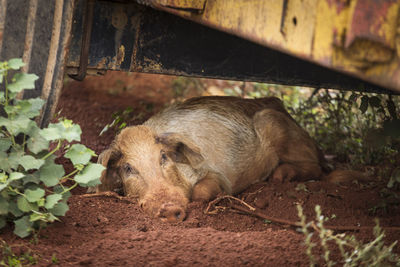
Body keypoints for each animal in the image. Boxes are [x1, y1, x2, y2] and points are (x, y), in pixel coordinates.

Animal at [93, 97, 328, 223]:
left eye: (163, 157)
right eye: (128, 168)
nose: (168, 207)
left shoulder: (218, 174)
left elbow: (201, 191)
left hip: (275, 126)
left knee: (318, 167)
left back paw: (279, 178)